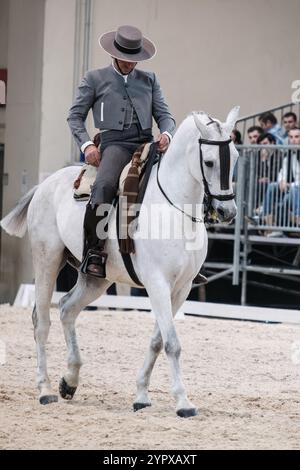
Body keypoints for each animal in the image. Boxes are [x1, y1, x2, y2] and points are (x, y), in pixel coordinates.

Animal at [0, 105, 239, 414]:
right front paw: (183, 402)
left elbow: (157, 341)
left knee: (67, 309)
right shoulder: (158, 284)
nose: (227, 212)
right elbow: (172, 343)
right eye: (209, 162)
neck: (174, 208)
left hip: (96, 279)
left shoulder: (182, 288)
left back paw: (70, 381)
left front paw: (142, 397)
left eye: (235, 157)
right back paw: (46, 390)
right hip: (47, 262)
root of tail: (46, 183)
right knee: (42, 321)